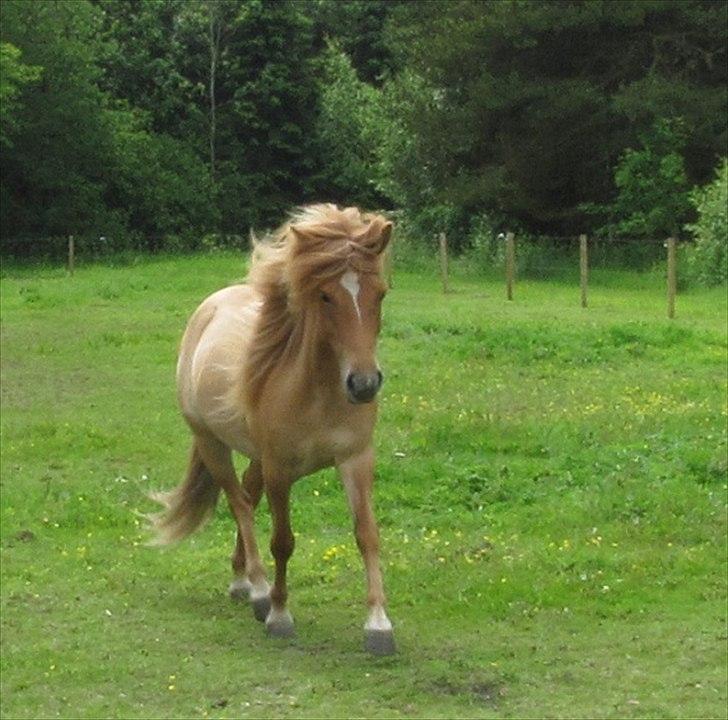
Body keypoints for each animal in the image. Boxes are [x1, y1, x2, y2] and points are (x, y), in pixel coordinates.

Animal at [149, 205, 398, 656]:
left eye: (380, 293)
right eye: (325, 296)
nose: (364, 384)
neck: (318, 393)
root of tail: (210, 306)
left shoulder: (356, 460)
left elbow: (367, 535)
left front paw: (378, 624)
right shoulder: (281, 469)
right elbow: (282, 540)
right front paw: (280, 615)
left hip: (255, 456)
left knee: (247, 495)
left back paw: (242, 581)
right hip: (213, 445)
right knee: (240, 505)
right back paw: (259, 590)